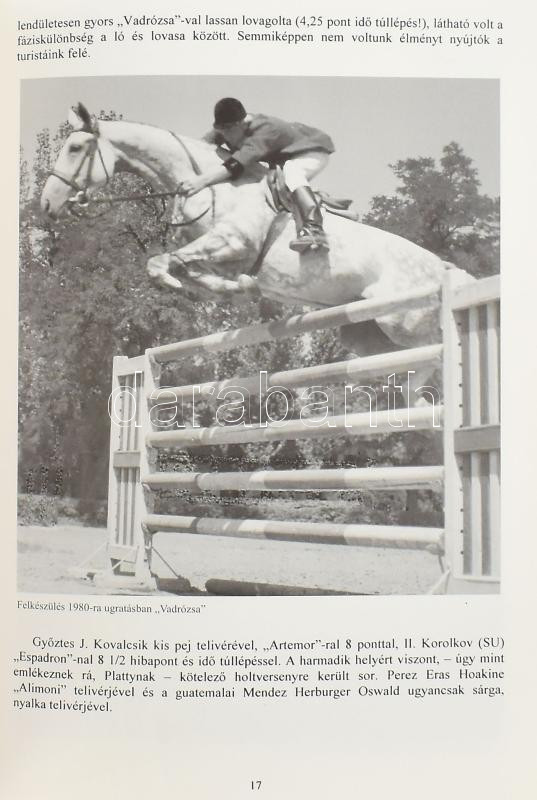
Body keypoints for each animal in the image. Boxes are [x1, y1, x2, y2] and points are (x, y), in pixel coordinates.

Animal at [41, 103, 473, 398]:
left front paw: (221, 287)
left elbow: (163, 263)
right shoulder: (217, 255)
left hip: (406, 325)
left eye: (76, 148)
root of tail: (445, 270)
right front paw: (240, 289)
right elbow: (188, 270)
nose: (47, 204)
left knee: (433, 361)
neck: (208, 184)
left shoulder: (233, 241)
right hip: (366, 335)